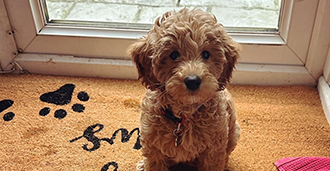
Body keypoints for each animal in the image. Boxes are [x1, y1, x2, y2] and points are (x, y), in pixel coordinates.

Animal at [128, 7, 240, 170]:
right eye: (174, 54)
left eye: (206, 54)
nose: (193, 81)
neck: (183, 116)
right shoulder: (153, 146)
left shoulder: (214, 149)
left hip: (233, 133)